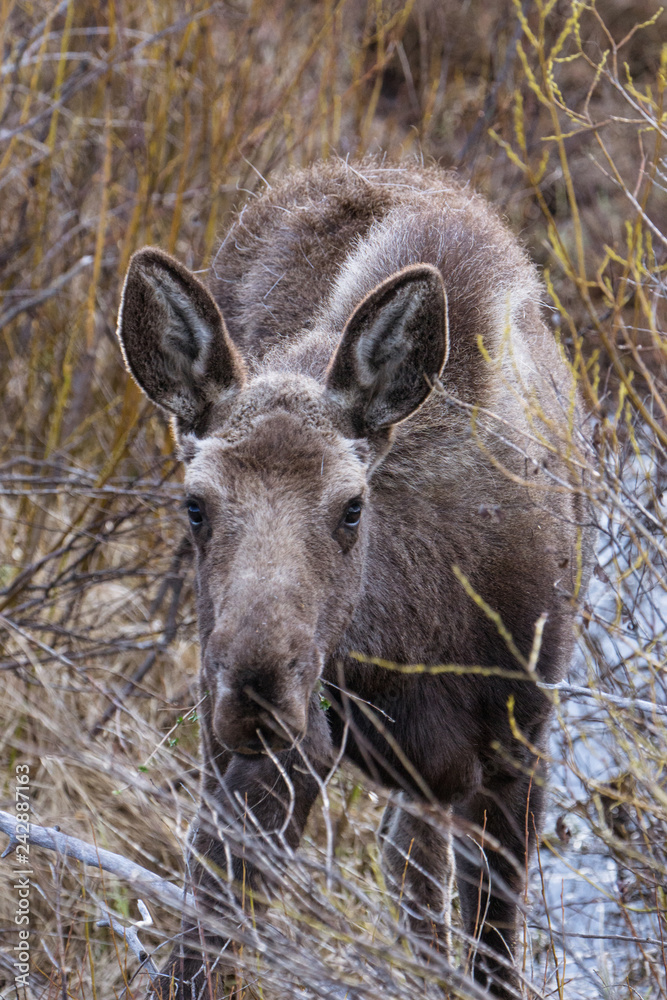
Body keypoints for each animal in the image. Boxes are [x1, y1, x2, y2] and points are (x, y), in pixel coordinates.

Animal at [116, 159, 594, 998]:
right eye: (195, 505)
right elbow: (201, 943)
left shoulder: (518, 746)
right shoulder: (282, 754)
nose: (256, 688)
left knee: (414, 873)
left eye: (349, 508)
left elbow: (493, 957)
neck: (412, 638)